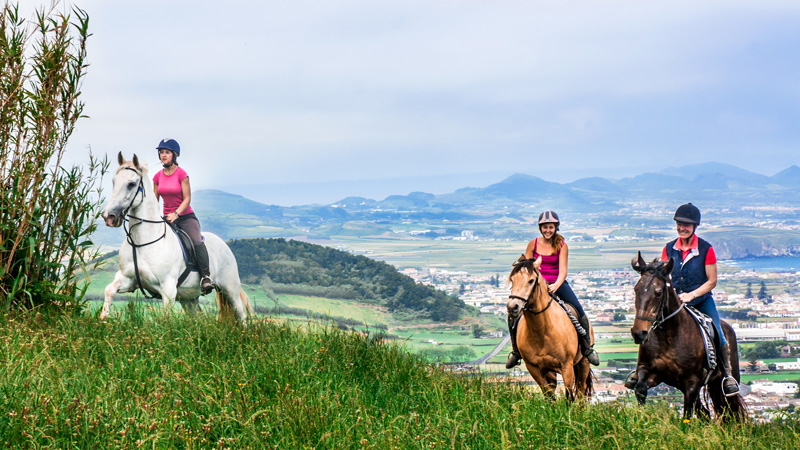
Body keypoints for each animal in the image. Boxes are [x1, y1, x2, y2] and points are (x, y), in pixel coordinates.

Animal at [99, 153, 252, 326]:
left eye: (131, 184)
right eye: (114, 181)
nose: (108, 216)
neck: (142, 243)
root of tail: (223, 244)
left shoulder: (168, 288)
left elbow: (166, 318)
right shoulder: (128, 279)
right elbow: (109, 290)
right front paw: (102, 319)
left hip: (229, 288)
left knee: (241, 314)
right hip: (188, 298)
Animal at [506, 255, 592, 400]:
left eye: (531, 280)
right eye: (512, 279)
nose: (512, 307)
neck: (542, 330)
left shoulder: (567, 366)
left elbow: (569, 396)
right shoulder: (534, 368)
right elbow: (548, 395)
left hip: (583, 364)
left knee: (581, 392)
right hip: (550, 371)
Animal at [632, 253, 752, 422]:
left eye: (658, 293)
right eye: (636, 290)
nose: (638, 333)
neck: (667, 337)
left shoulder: (692, 383)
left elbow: (687, 415)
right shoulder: (649, 371)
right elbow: (640, 388)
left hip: (725, 383)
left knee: (732, 413)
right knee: (706, 413)